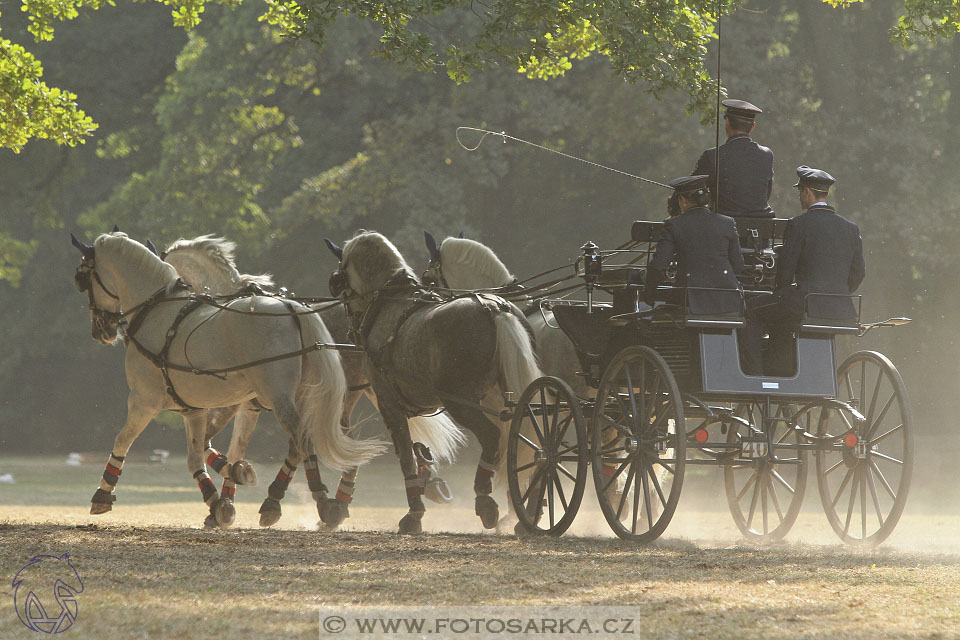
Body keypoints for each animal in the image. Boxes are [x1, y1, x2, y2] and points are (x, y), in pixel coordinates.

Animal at [70, 232, 382, 524]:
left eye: (83, 277)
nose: (102, 331)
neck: (159, 312)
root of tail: (293, 309)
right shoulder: (199, 408)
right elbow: (204, 454)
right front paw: (223, 494)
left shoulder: (144, 401)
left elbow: (123, 440)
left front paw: (102, 494)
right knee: (330, 441)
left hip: (283, 398)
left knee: (305, 441)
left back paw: (319, 502)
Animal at [328, 232, 540, 532]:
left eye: (342, 282)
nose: (351, 330)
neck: (390, 303)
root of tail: (493, 306)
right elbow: (416, 454)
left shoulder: (388, 402)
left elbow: (406, 455)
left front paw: (414, 514)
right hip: (504, 402)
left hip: (462, 403)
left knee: (491, 438)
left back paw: (486, 501)